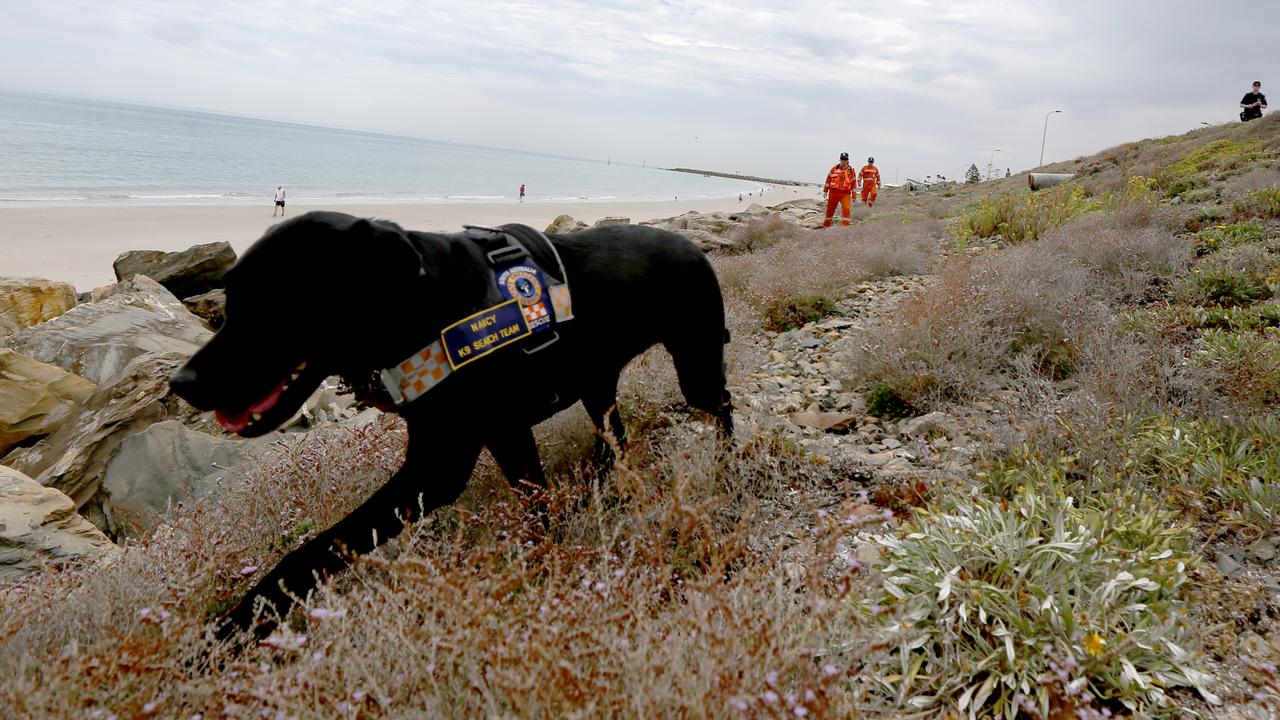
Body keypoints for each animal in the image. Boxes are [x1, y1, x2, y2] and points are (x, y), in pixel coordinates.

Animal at [170, 208, 732, 632]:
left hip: (695, 363)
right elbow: (533, 498)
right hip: (598, 383)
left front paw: (237, 626)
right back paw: (598, 481)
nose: (181, 381)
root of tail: (693, 244)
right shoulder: (497, 437)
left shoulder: (441, 466)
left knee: (721, 402)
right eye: (230, 296)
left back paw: (728, 463)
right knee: (613, 434)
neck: (421, 308)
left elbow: (316, 548)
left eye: (279, 298)